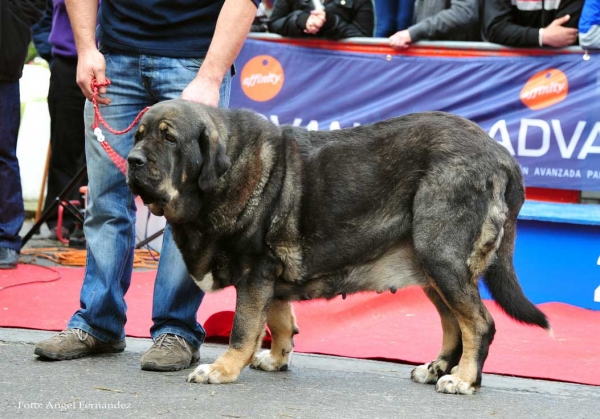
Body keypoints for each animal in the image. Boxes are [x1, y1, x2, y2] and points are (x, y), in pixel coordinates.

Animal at [126, 100, 548, 396]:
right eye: (137, 135)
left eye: (168, 137)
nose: (131, 160)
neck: (224, 175)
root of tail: (504, 157)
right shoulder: (270, 275)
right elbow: (279, 320)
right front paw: (277, 358)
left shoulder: (256, 270)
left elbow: (243, 329)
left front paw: (223, 369)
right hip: (432, 268)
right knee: (452, 322)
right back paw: (438, 369)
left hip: (441, 257)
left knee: (478, 323)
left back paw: (463, 380)